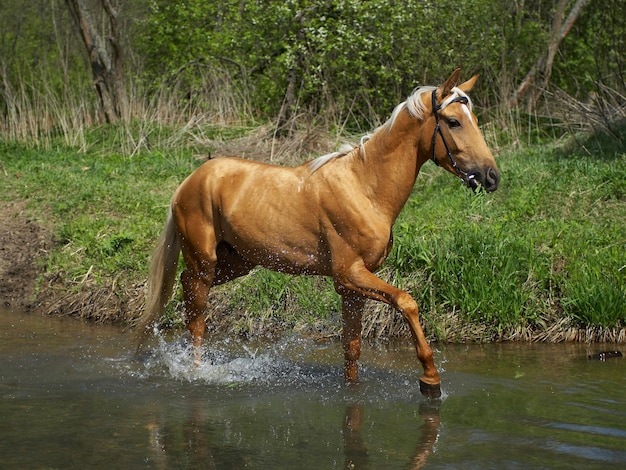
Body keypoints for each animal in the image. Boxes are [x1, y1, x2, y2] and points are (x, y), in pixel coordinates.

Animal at [136, 70, 498, 398]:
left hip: (236, 262)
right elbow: (407, 302)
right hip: (204, 261)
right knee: (195, 312)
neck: (364, 187)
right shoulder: (349, 275)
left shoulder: (353, 288)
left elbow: (352, 349)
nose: (491, 177)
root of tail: (189, 181)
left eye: (473, 118)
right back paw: (195, 370)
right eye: (453, 122)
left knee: (186, 288)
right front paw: (430, 379)